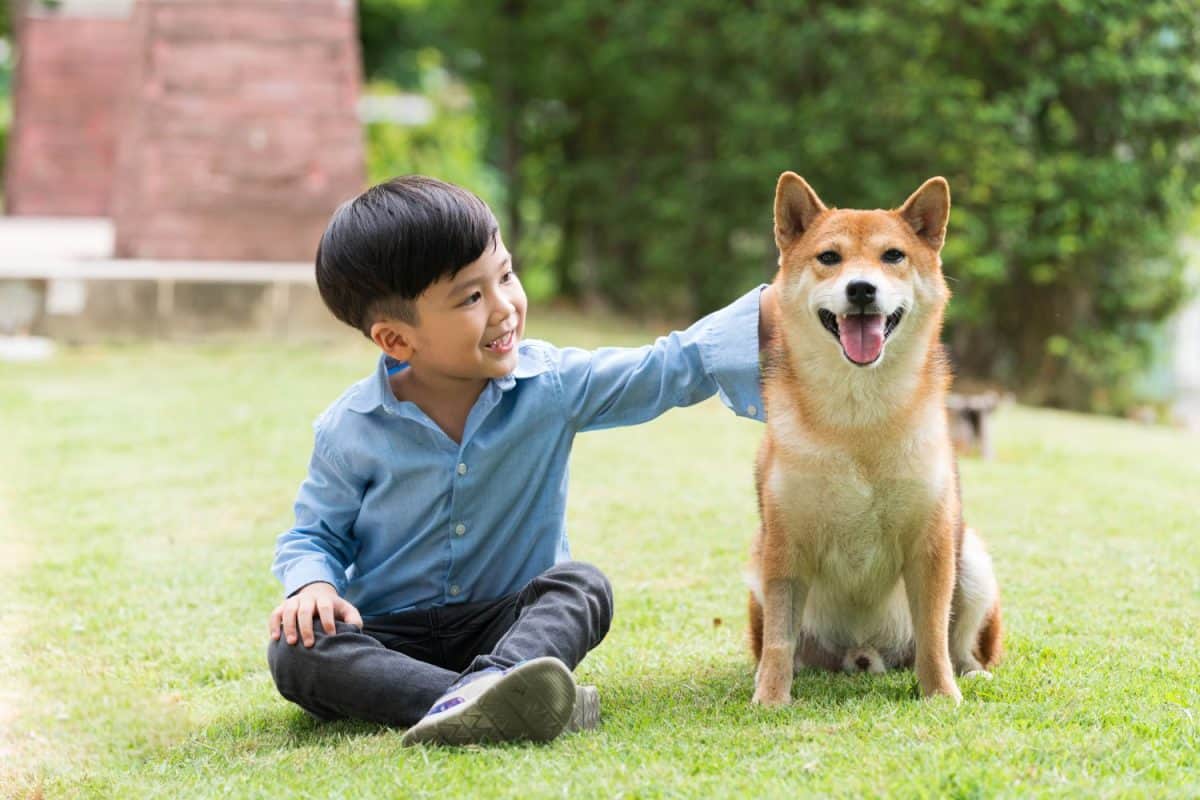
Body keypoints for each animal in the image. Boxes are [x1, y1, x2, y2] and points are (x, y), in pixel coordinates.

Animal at [748, 172, 1003, 705]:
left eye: (893, 256)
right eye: (829, 257)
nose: (862, 289)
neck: (859, 419)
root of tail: (863, 655)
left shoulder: (932, 541)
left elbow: (934, 636)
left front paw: (941, 696)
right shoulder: (784, 544)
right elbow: (779, 640)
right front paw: (771, 699)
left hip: (971, 560)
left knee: (962, 645)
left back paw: (971, 673)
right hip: (758, 564)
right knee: (784, 645)